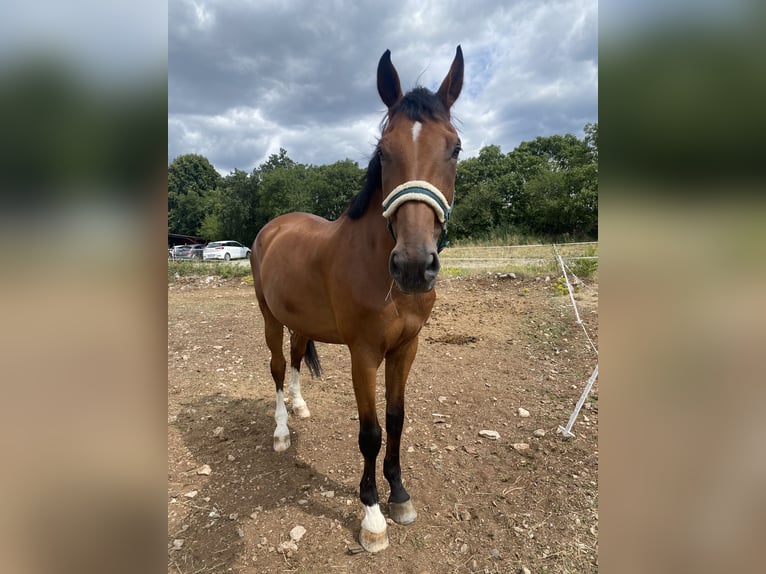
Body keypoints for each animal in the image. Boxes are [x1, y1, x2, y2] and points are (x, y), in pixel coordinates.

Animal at [250, 46, 463, 553]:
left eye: (455, 148)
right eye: (384, 152)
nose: (413, 265)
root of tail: (273, 226)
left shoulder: (406, 348)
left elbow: (397, 419)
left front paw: (400, 495)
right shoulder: (363, 353)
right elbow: (370, 431)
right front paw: (372, 516)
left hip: (300, 320)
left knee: (294, 358)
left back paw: (300, 406)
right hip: (269, 317)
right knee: (276, 367)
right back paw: (282, 430)